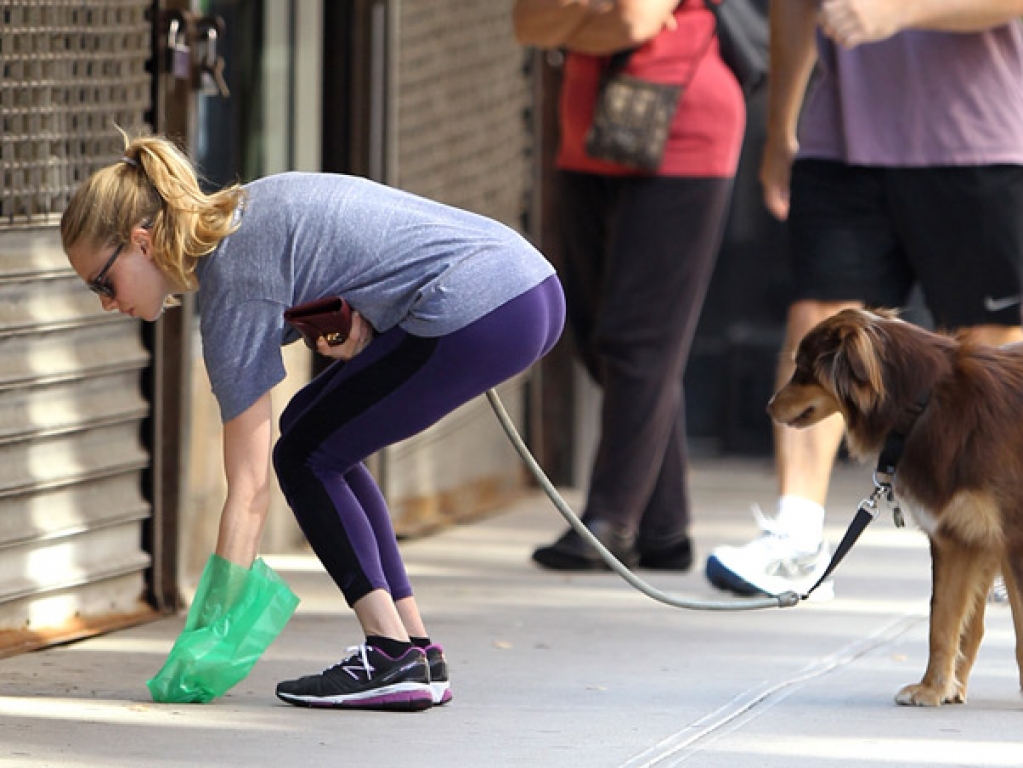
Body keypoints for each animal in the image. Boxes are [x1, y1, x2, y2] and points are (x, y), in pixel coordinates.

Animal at [769, 308, 1023, 707]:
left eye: (803, 368)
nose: (769, 406)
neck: (921, 403)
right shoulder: (956, 536)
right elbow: (942, 620)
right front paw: (932, 688)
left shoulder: (1010, 538)